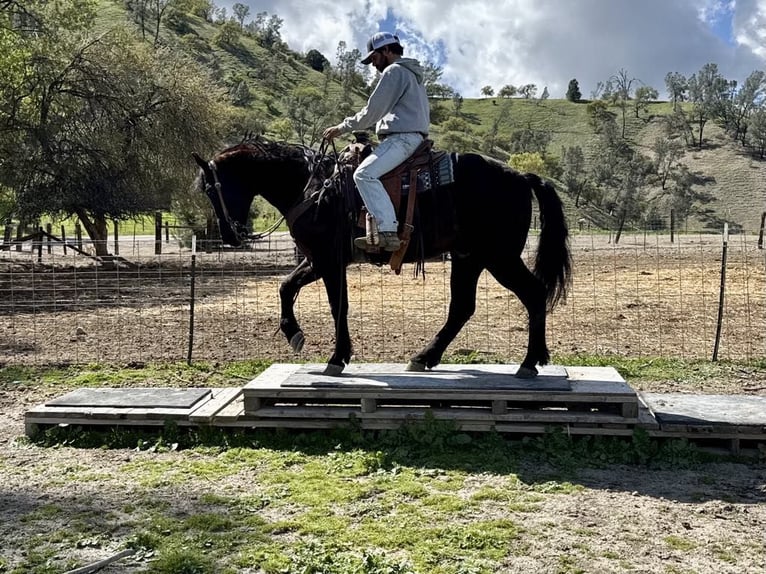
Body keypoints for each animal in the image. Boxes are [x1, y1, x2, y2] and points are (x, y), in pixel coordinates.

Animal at [192, 136, 572, 378]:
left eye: (212, 188)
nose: (230, 236)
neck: (312, 187)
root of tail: (521, 176)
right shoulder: (317, 260)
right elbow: (286, 287)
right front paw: (294, 335)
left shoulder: (329, 261)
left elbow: (338, 306)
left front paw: (337, 357)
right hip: (469, 258)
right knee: (462, 307)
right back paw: (424, 357)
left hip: (499, 257)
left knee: (533, 294)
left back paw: (529, 363)